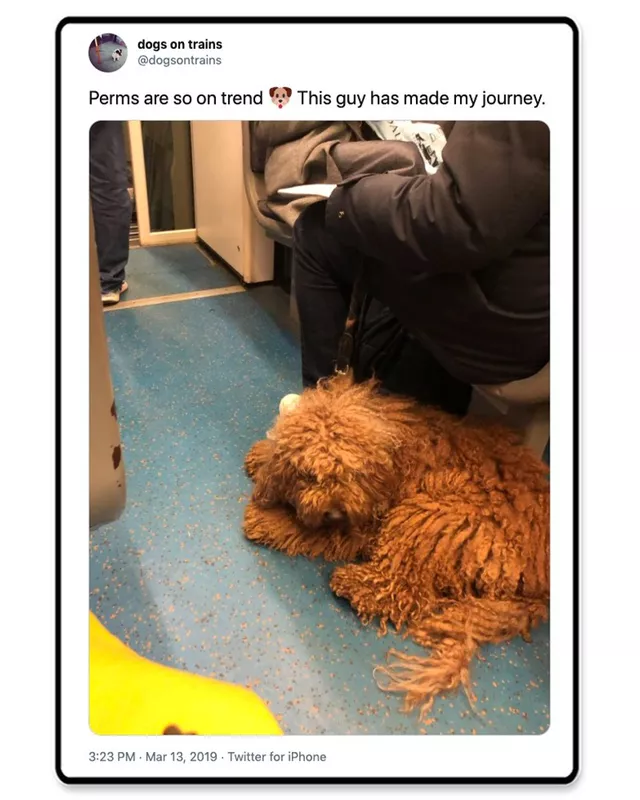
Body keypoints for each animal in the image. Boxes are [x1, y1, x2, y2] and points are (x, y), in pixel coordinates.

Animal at [242, 374, 548, 720]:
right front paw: (262, 457)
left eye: (351, 473)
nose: (334, 512)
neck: (390, 454)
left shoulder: (364, 524)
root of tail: (536, 586)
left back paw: (353, 584)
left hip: (431, 515)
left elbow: (315, 533)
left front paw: (264, 520)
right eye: (309, 475)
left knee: (403, 593)